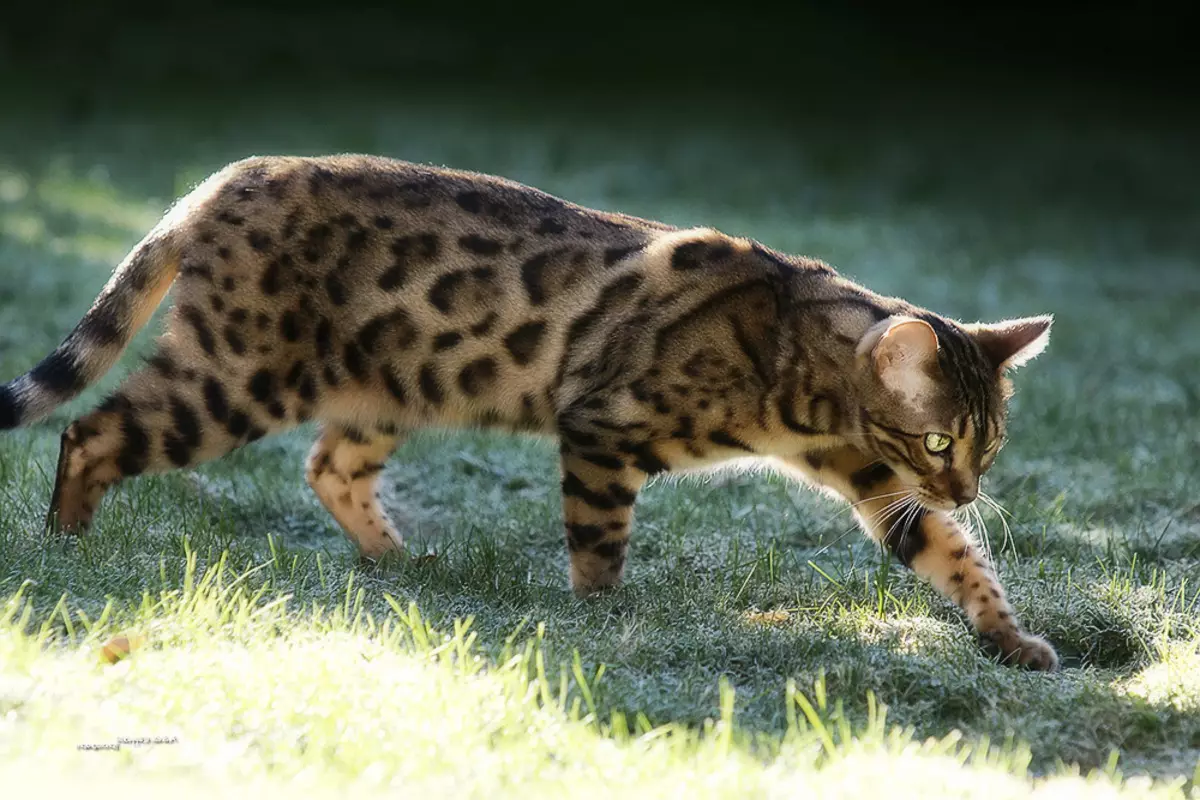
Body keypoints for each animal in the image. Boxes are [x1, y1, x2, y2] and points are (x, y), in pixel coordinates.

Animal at [0, 154, 1060, 671]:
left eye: (988, 445)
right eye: (938, 437)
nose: (968, 486)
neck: (800, 367)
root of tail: (224, 178)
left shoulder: (876, 478)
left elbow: (955, 557)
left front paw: (1010, 640)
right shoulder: (601, 427)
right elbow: (598, 544)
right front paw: (603, 619)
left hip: (385, 387)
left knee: (327, 467)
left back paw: (402, 561)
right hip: (234, 378)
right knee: (90, 429)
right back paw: (67, 540)